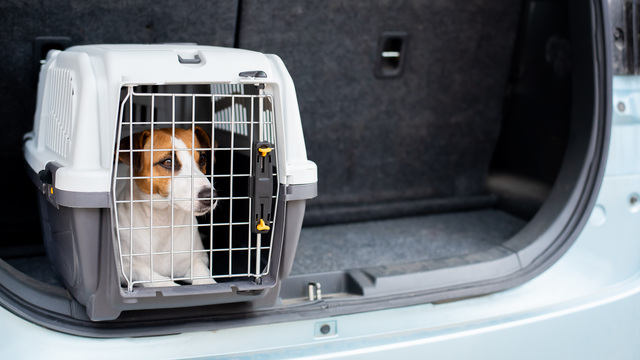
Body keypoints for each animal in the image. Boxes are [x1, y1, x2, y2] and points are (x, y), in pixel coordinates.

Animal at [115, 126, 215, 286]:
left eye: (202, 158)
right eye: (168, 161)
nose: (210, 196)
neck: (164, 221)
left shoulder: (197, 260)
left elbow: (204, 277)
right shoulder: (125, 268)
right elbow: (155, 277)